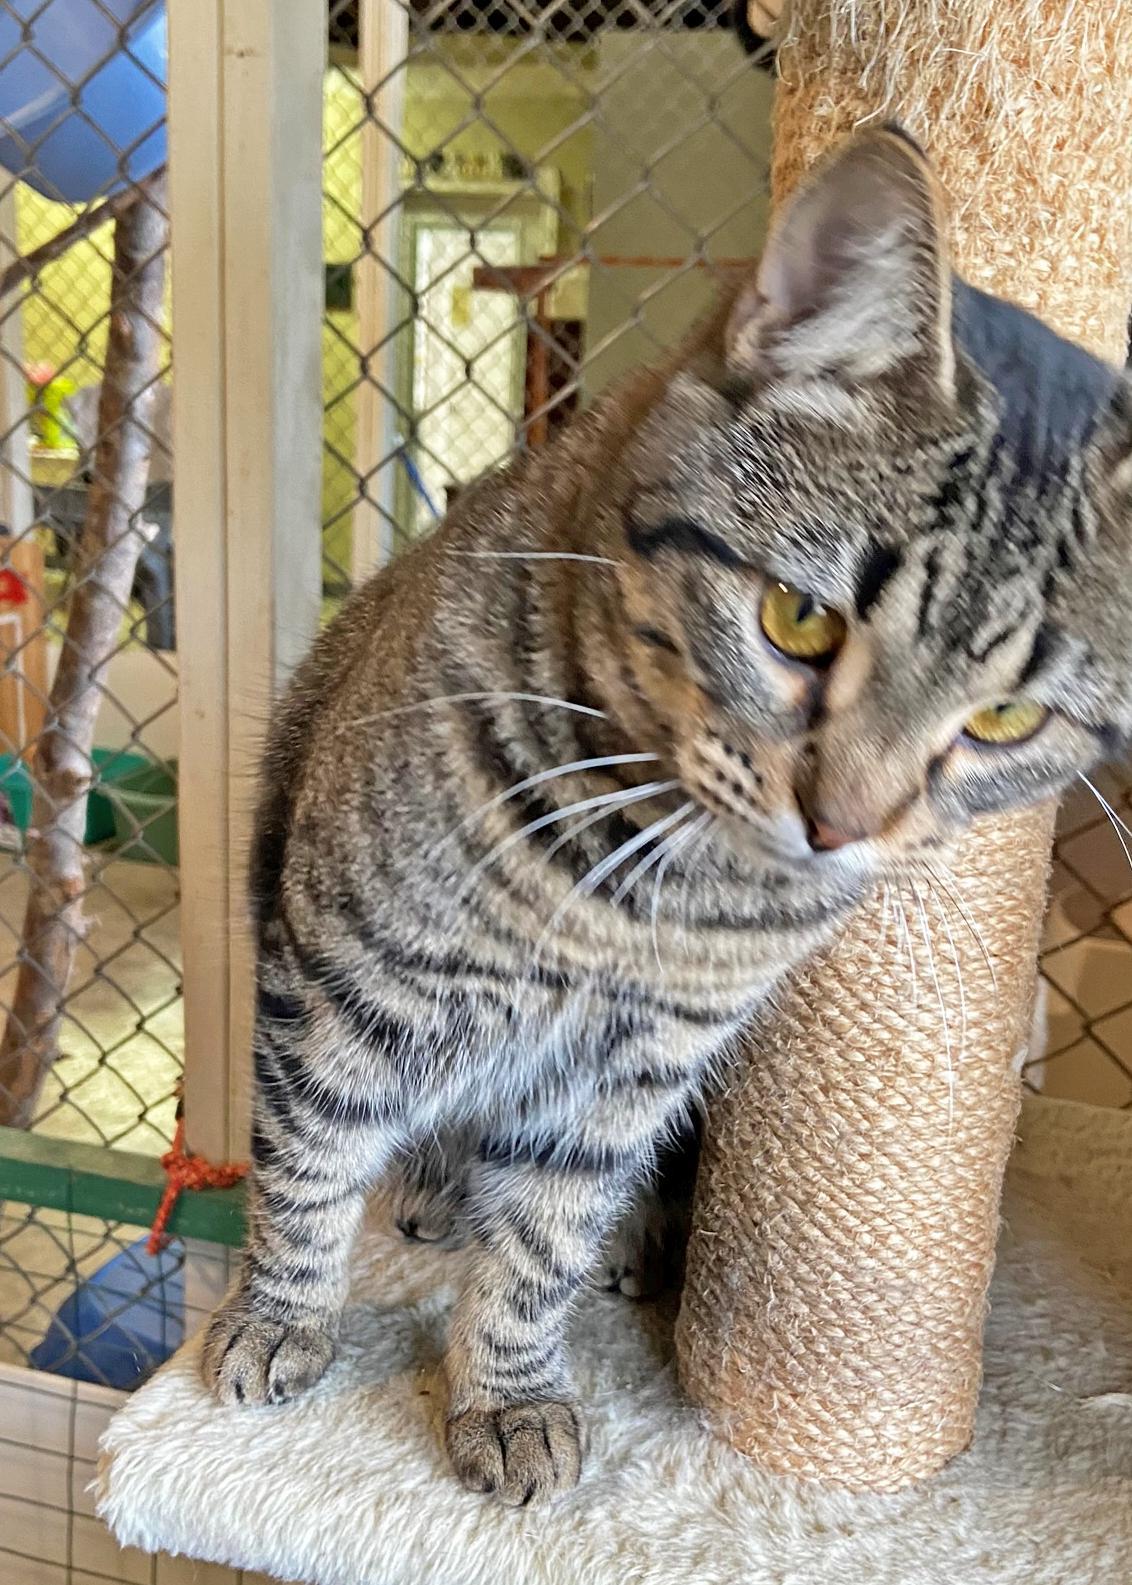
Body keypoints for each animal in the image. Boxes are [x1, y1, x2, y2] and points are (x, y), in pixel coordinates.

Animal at [200, 129, 1128, 1502]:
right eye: (799, 622)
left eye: (1006, 720)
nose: (840, 822)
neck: (657, 889)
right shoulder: (341, 981)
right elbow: (307, 1165)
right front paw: (279, 1314)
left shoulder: (636, 1069)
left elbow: (543, 1246)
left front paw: (509, 1389)